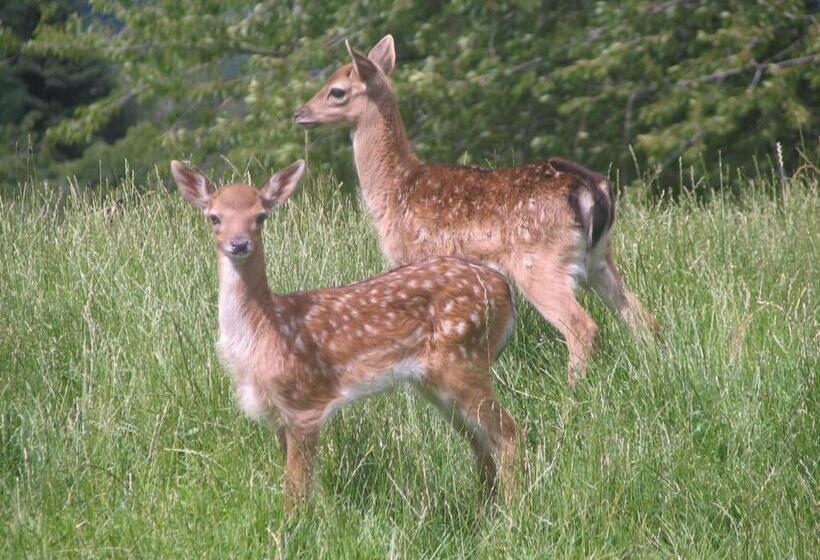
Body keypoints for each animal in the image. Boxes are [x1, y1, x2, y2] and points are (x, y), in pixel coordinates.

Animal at [171, 158, 524, 508]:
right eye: (214, 217)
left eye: (261, 216)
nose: (239, 243)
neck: (264, 331)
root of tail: (505, 290)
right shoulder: (276, 416)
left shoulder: (303, 403)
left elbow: (296, 490)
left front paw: (294, 523)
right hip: (436, 380)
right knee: (480, 442)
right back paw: (485, 509)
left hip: (464, 358)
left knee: (508, 433)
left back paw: (513, 512)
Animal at [294, 34, 660, 384]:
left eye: (337, 91)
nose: (299, 113)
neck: (396, 189)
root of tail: (590, 188)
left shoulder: (412, 261)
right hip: (599, 257)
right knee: (640, 314)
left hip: (541, 263)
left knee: (583, 326)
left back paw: (573, 390)